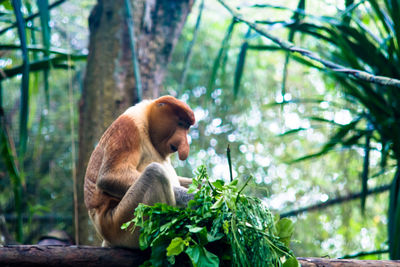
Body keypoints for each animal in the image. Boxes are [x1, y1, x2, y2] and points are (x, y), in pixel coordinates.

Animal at [84, 96, 195, 249]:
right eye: (180, 124)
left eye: (186, 127)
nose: (184, 147)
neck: (147, 121)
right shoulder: (128, 127)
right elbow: (109, 175)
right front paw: (193, 197)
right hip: (121, 223)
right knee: (155, 173)